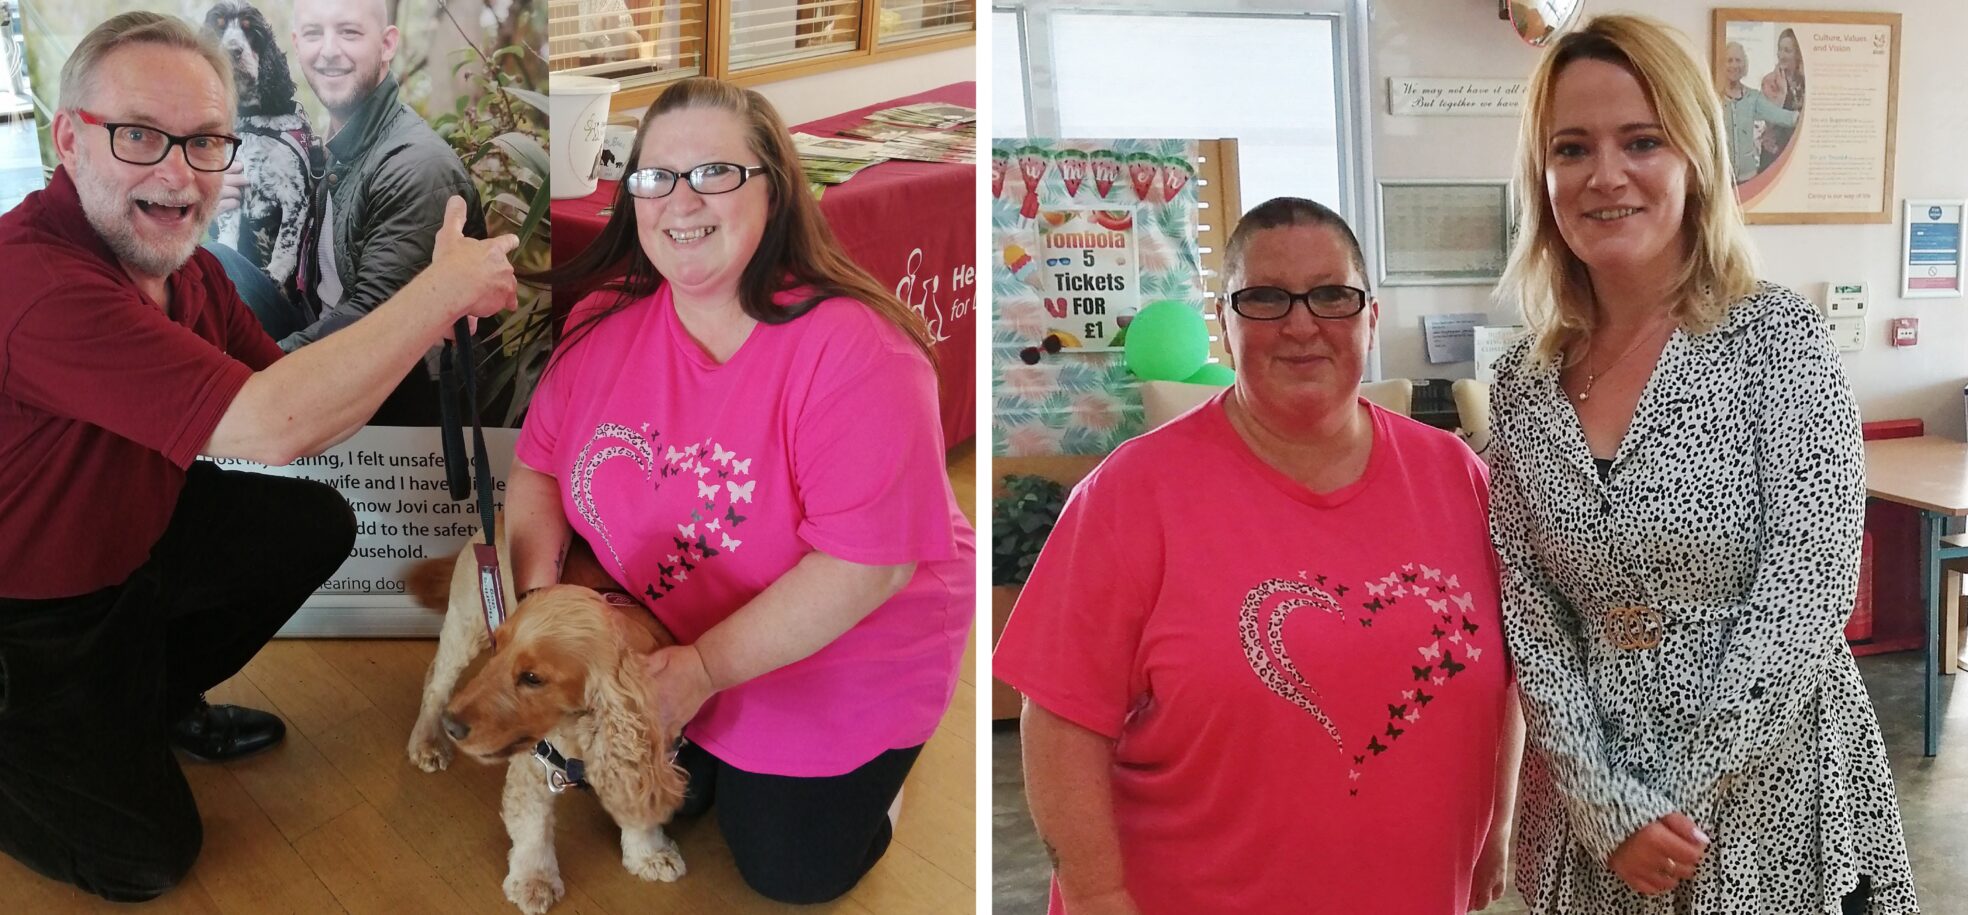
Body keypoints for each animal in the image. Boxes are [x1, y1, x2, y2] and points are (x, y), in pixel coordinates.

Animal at [202, 0, 314, 285]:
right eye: (218, 28)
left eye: (251, 31)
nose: (233, 50)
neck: (253, 119)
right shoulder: (234, 185)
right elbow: (229, 225)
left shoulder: (294, 194)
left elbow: (286, 241)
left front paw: (275, 271)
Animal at [403, 535, 688, 913]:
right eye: (498, 646)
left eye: (532, 678)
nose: (453, 726)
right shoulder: (536, 762)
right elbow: (533, 827)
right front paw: (533, 881)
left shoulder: (655, 747)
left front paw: (649, 854)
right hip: (465, 623)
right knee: (438, 680)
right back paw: (427, 742)